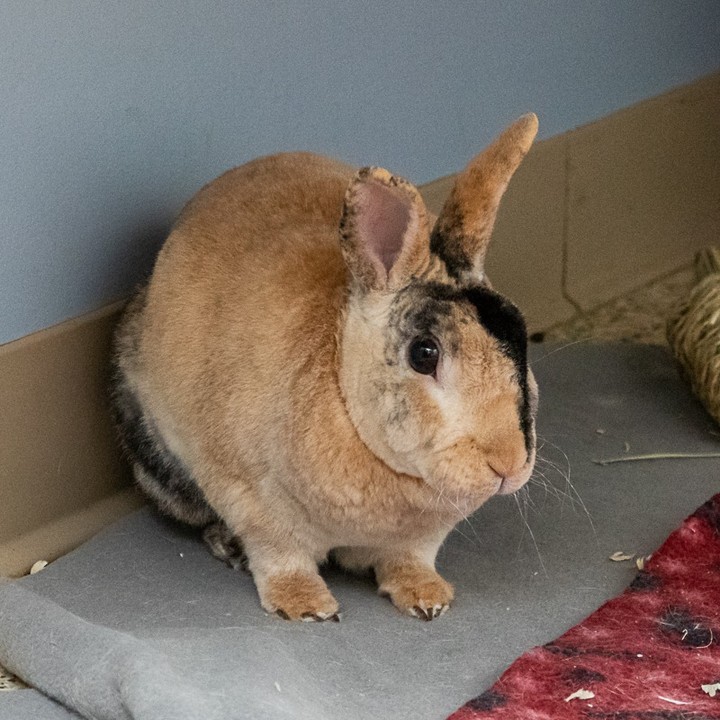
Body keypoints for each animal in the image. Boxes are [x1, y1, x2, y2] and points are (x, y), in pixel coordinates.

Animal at [111, 115, 540, 620]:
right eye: (424, 354)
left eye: (520, 331)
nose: (508, 465)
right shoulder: (252, 501)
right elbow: (280, 558)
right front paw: (306, 607)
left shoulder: (420, 538)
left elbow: (409, 560)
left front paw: (428, 598)